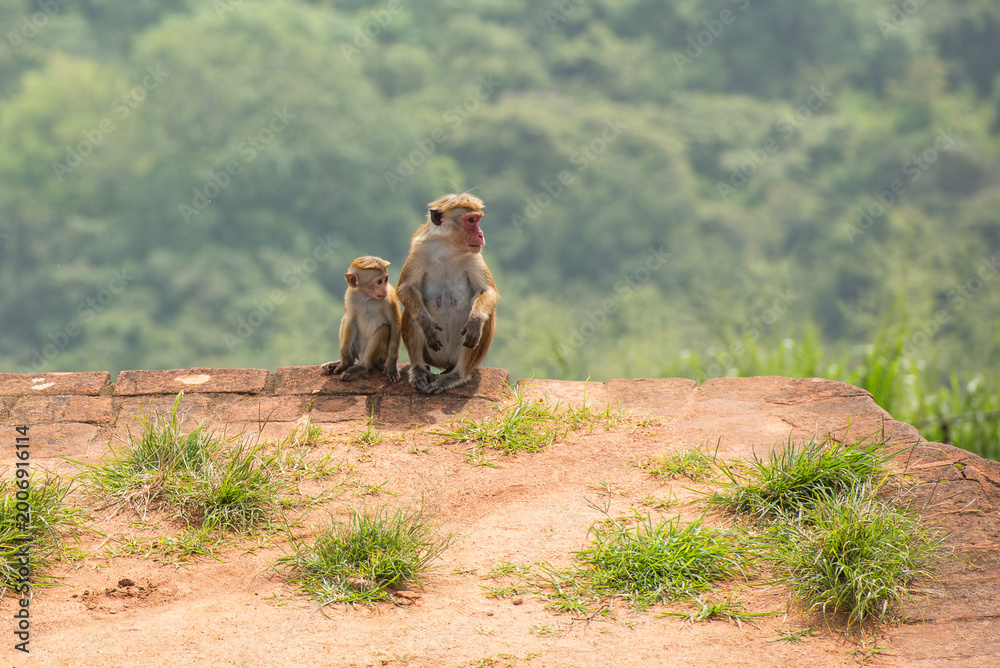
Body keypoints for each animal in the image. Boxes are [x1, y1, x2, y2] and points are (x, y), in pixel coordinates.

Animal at [396, 193, 500, 395]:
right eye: (471, 220)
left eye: (478, 219)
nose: (481, 234)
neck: (448, 248)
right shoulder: (418, 249)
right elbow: (406, 288)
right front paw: (426, 324)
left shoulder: (474, 255)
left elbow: (487, 291)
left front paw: (476, 320)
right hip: (433, 355)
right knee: (412, 312)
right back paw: (419, 369)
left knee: (485, 314)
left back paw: (457, 375)